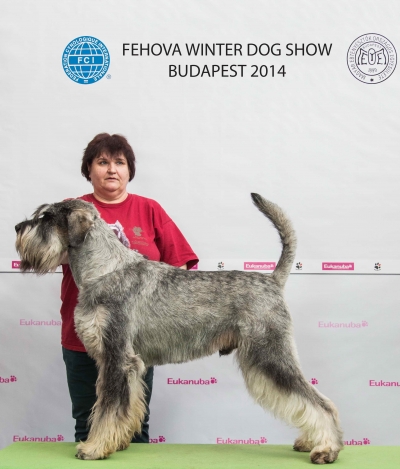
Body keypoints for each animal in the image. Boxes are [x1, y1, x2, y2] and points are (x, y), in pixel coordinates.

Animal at [14, 193, 342, 460]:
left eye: (46, 217)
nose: (17, 227)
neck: (104, 270)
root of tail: (272, 280)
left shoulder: (116, 356)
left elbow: (107, 407)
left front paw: (94, 448)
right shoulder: (127, 363)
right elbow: (126, 406)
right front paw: (117, 442)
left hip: (271, 354)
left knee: (318, 401)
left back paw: (326, 448)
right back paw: (311, 441)